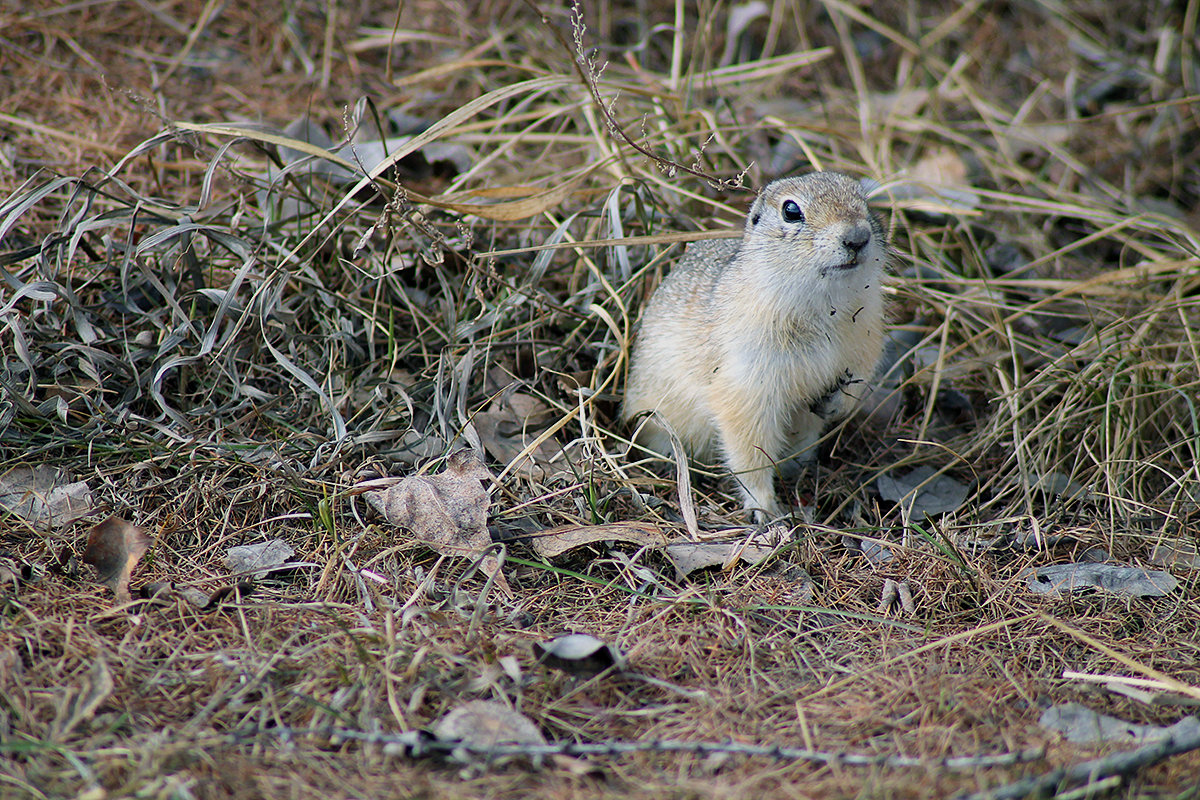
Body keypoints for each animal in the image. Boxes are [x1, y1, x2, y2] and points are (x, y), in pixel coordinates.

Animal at [624, 172, 888, 522]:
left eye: (863, 199)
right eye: (791, 210)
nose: (857, 237)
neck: (824, 305)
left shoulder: (865, 344)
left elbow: (858, 380)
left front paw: (834, 403)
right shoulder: (746, 383)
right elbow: (749, 448)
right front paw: (766, 510)